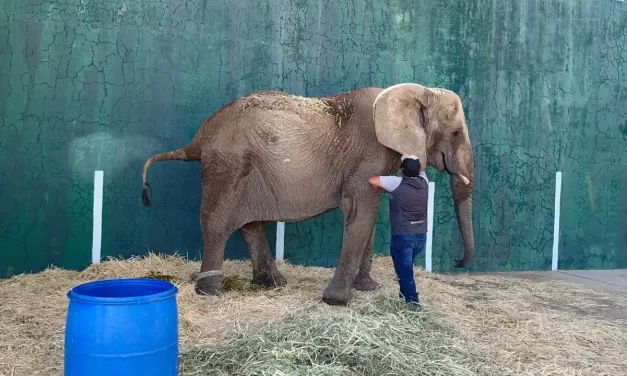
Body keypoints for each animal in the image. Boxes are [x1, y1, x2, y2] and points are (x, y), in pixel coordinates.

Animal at [142, 82, 476, 306]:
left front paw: (368, 288)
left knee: (251, 225)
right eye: (456, 133)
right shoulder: (367, 154)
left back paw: (272, 283)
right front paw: (338, 301)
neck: (415, 91)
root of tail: (198, 138)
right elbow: (360, 211)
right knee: (217, 224)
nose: (458, 262)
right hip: (227, 166)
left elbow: (368, 214)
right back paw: (211, 291)